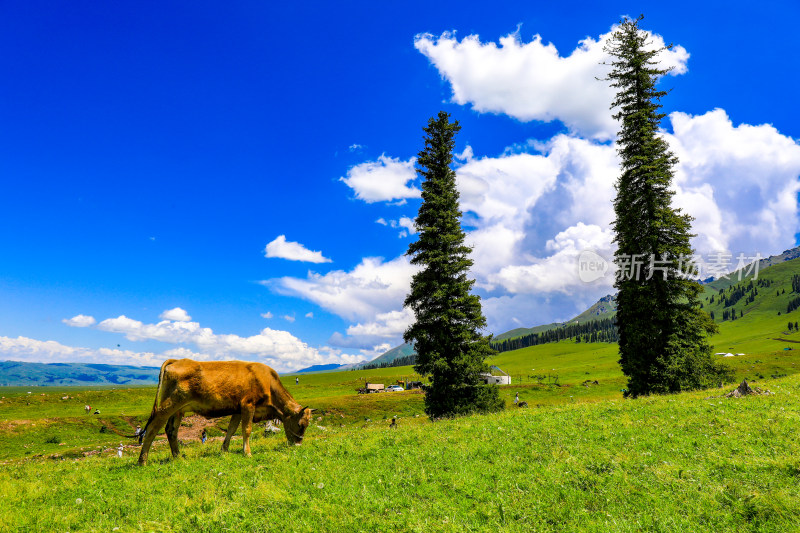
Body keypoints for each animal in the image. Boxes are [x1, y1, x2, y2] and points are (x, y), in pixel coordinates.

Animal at [138, 358, 312, 466]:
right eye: (300, 424)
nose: (298, 444)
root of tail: (177, 360)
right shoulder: (248, 405)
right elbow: (246, 430)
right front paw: (247, 453)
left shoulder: (238, 409)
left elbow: (231, 429)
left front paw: (224, 450)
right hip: (169, 406)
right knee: (153, 429)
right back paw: (142, 461)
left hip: (179, 410)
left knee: (171, 431)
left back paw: (178, 457)